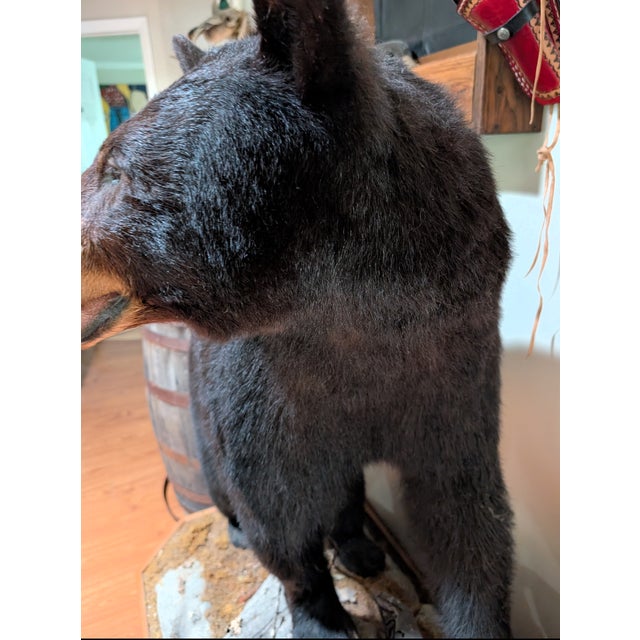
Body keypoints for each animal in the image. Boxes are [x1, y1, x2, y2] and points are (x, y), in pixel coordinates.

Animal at [81, 0, 514, 637]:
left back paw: (359, 546)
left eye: (114, 169)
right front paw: (320, 614)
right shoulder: (268, 386)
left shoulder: (454, 356)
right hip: (196, 392)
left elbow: (463, 507)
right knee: (222, 474)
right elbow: (277, 511)